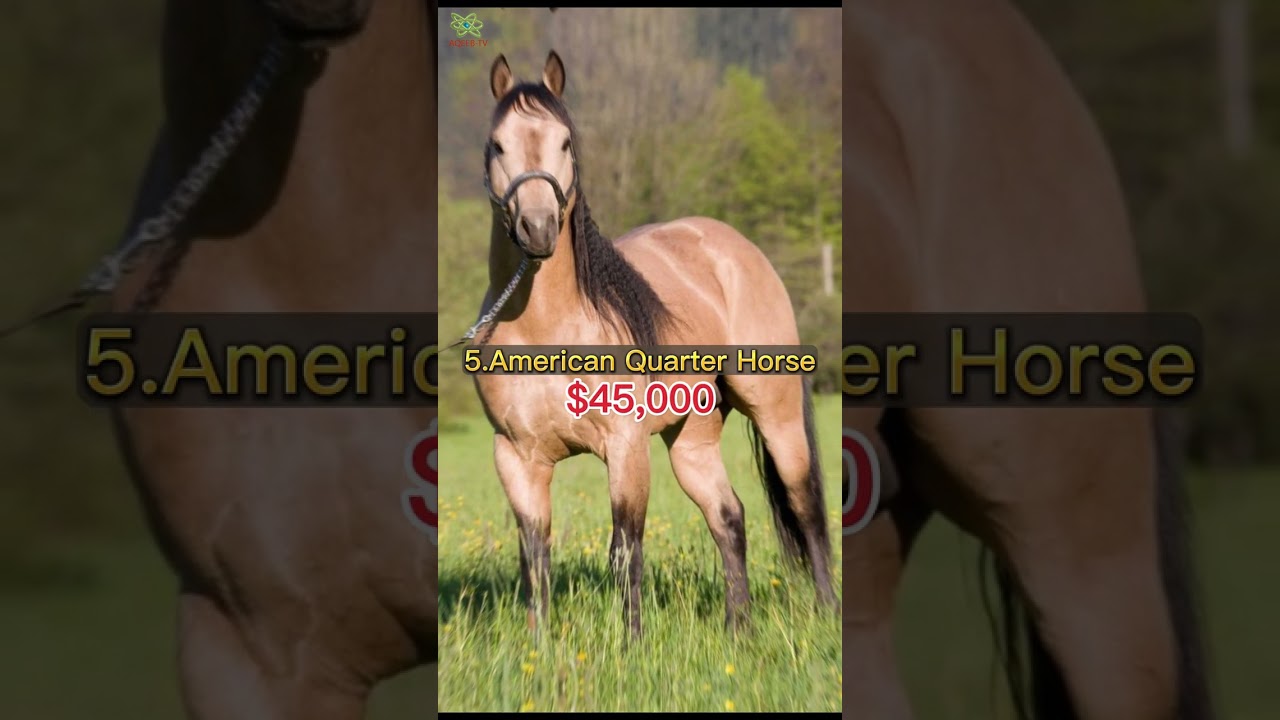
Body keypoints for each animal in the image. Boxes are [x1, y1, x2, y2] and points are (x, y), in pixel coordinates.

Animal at [468, 51, 837, 639]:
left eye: (566, 142)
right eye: (498, 144)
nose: (538, 228)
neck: (546, 327)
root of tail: (737, 249)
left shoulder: (625, 447)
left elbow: (625, 551)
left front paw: (632, 643)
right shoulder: (516, 456)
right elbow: (535, 556)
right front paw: (539, 646)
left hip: (775, 414)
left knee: (805, 506)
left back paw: (825, 613)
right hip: (692, 438)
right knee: (728, 517)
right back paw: (738, 628)